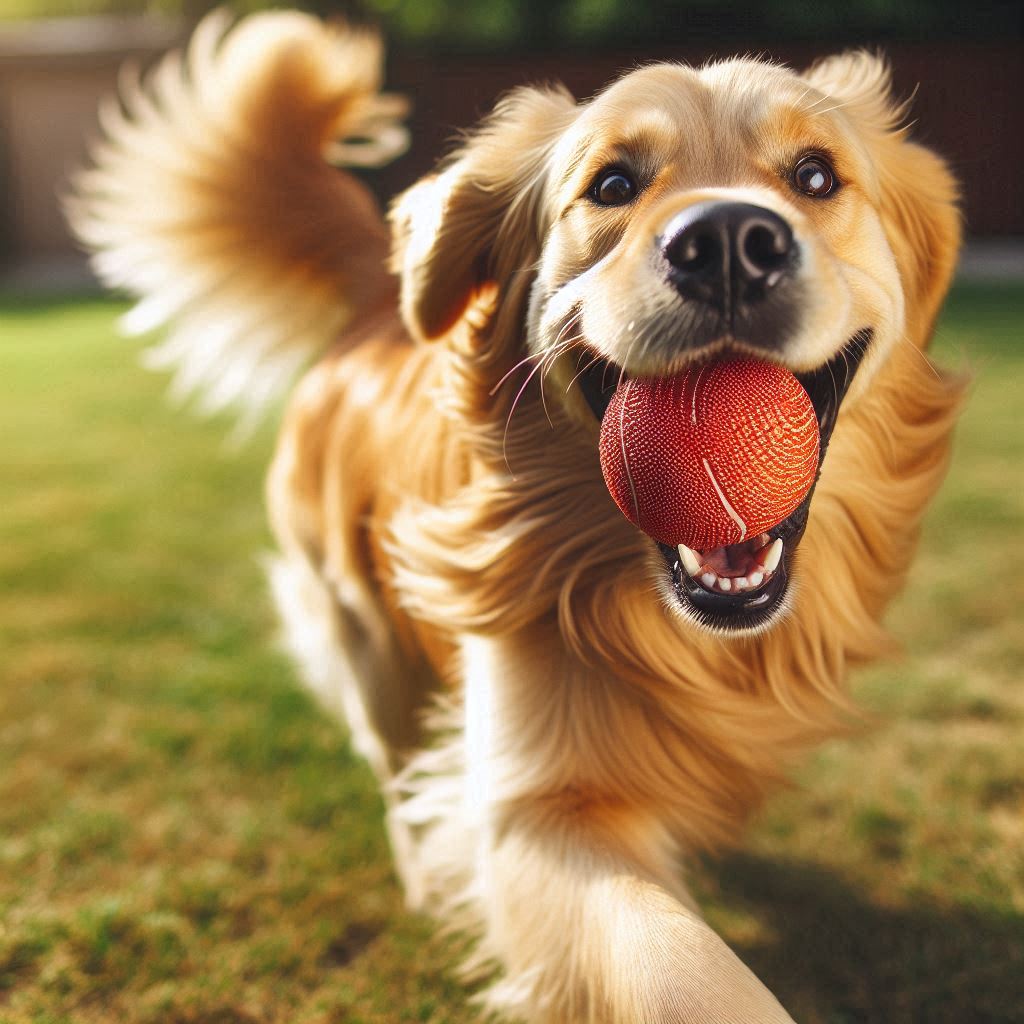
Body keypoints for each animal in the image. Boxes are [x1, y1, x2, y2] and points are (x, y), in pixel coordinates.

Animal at [68, 12, 962, 1019]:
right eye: (611, 184)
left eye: (815, 176)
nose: (729, 241)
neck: (687, 637)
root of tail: (377, 307)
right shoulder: (539, 808)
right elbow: (679, 966)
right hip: (368, 639)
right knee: (396, 764)